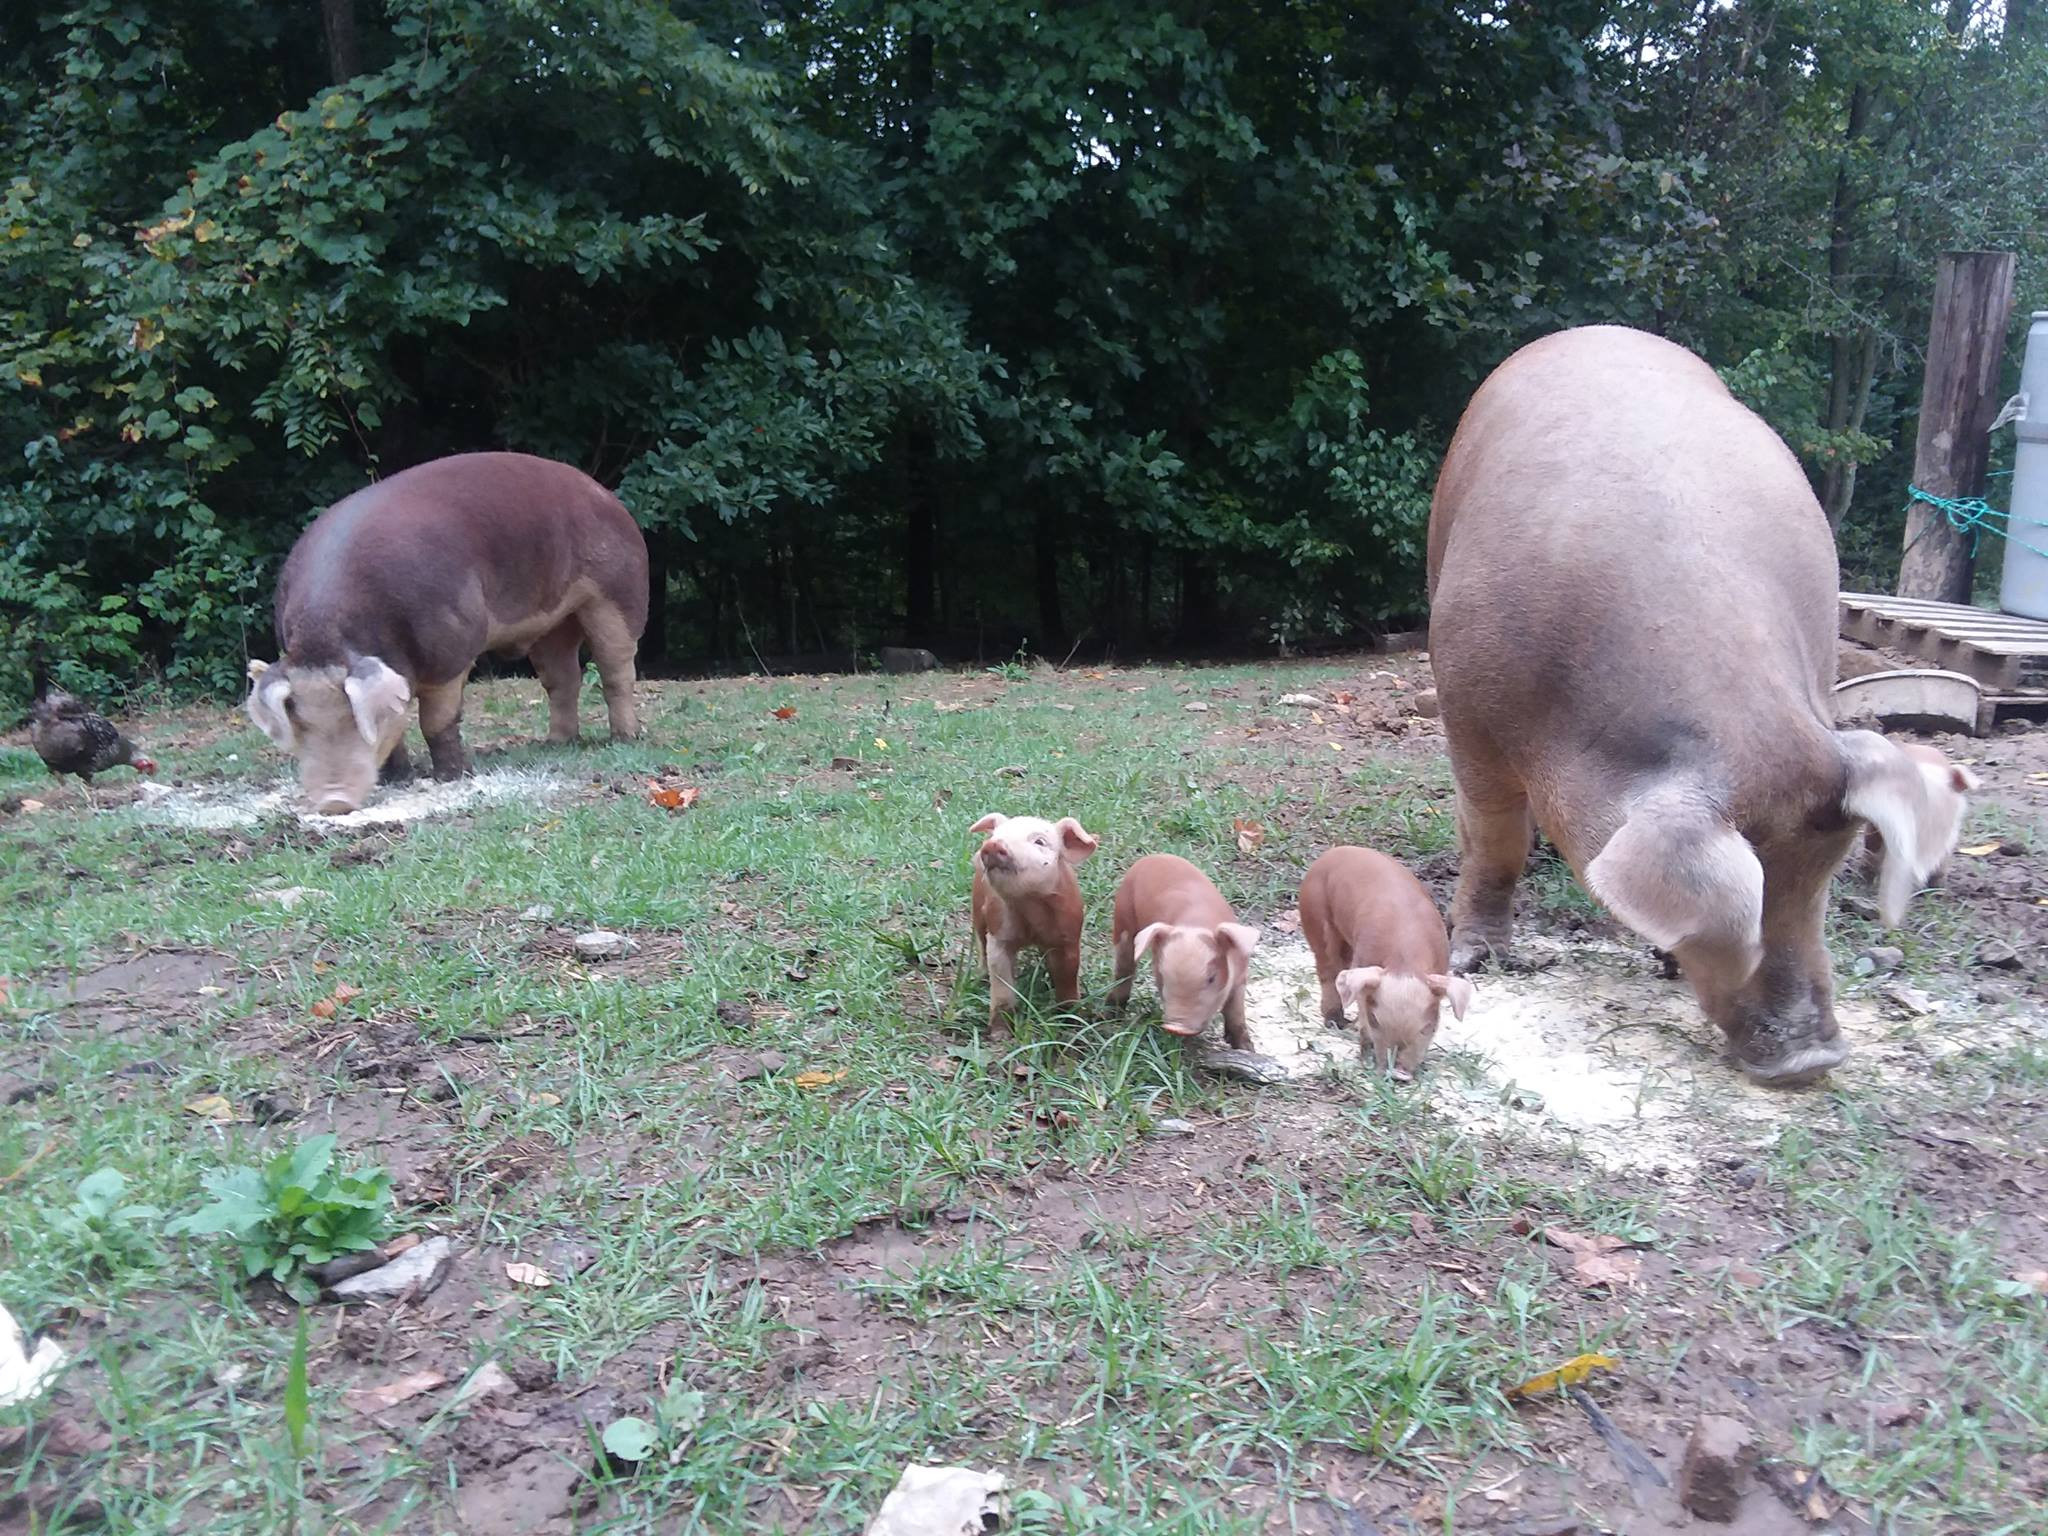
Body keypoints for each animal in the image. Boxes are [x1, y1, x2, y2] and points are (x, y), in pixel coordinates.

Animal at [247, 452, 648, 814]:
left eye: (352, 718)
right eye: (300, 724)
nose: (333, 802)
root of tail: (603, 492)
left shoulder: (452, 651)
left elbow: (436, 720)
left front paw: (453, 776)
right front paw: (398, 779)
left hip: (619, 592)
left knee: (616, 669)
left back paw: (624, 738)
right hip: (552, 625)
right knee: (562, 678)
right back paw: (556, 744)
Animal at [969, 812, 1099, 1025]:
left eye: (1040, 841)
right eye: (996, 835)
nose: (994, 844)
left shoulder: (1069, 934)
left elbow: (1068, 974)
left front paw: (1071, 1017)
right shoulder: (998, 931)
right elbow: (1002, 984)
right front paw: (1000, 1030)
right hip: (977, 910)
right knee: (981, 943)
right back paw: (980, 977)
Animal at [1106, 854, 1260, 1045]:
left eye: (1211, 978)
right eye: (1163, 976)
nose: (1177, 1027)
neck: (1194, 925)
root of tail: (1153, 856)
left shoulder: (1240, 976)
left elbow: (1236, 1012)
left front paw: (1246, 1048)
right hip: (1123, 914)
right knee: (1124, 967)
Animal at [1299, 846, 1473, 1077]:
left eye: (1428, 1026)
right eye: (1375, 1020)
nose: (1398, 1074)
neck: (1405, 961)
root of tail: (1334, 851)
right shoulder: (1363, 964)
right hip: (1316, 915)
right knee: (1328, 969)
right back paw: (1336, 1022)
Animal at [1426, 325, 1974, 1086]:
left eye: (1823, 877)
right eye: (1747, 900)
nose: (1815, 1056)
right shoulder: (1468, 706)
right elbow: (1492, 840)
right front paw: (1477, 958)